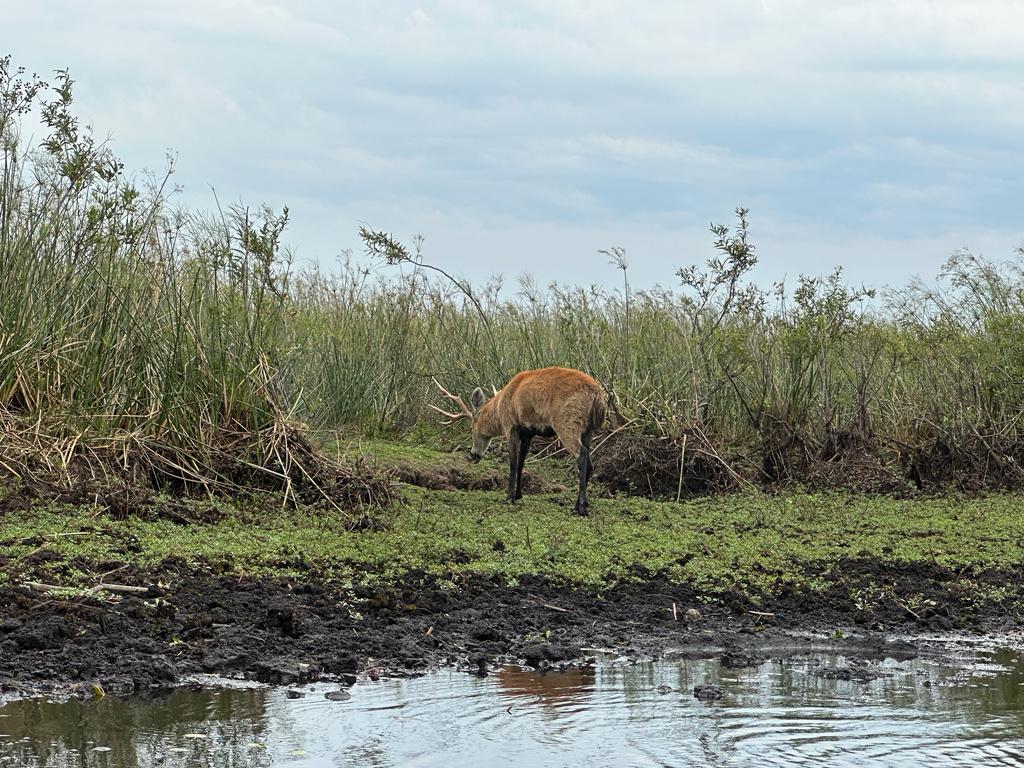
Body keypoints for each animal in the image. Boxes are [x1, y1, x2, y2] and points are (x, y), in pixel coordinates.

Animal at [430, 367, 606, 516]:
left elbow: (513, 463)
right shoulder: (528, 432)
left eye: (471, 427)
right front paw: (518, 494)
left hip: (566, 422)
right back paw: (583, 503)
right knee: (589, 459)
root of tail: (597, 396)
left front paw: (509, 497)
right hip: (588, 430)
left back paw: (579, 507)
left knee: (582, 455)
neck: (499, 408)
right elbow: (521, 462)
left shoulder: (510, 426)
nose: (473, 455)